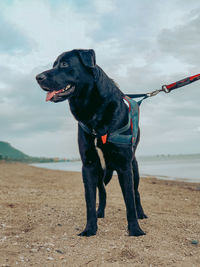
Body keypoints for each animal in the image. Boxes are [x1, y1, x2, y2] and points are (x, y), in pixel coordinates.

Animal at [35, 49, 147, 238]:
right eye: (54, 65)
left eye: (64, 64)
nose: (37, 77)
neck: (95, 114)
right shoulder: (88, 165)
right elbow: (90, 201)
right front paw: (89, 229)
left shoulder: (124, 165)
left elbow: (129, 201)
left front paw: (135, 230)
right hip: (101, 172)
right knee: (102, 192)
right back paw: (100, 212)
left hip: (134, 167)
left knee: (136, 192)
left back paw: (141, 214)